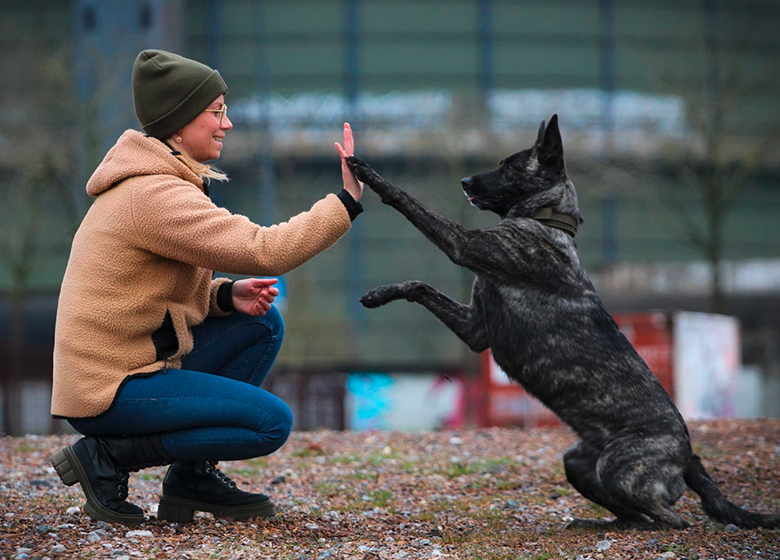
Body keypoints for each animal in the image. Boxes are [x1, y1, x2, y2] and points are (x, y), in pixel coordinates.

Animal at [348, 114, 780, 528]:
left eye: (510, 167)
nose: (464, 180)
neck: (548, 221)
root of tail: (689, 455)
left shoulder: (463, 245)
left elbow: (412, 204)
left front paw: (370, 175)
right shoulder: (474, 329)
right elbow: (419, 286)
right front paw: (380, 294)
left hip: (619, 468)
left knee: (673, 518)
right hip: (577, 463)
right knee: (631, 512)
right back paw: (601, 525)